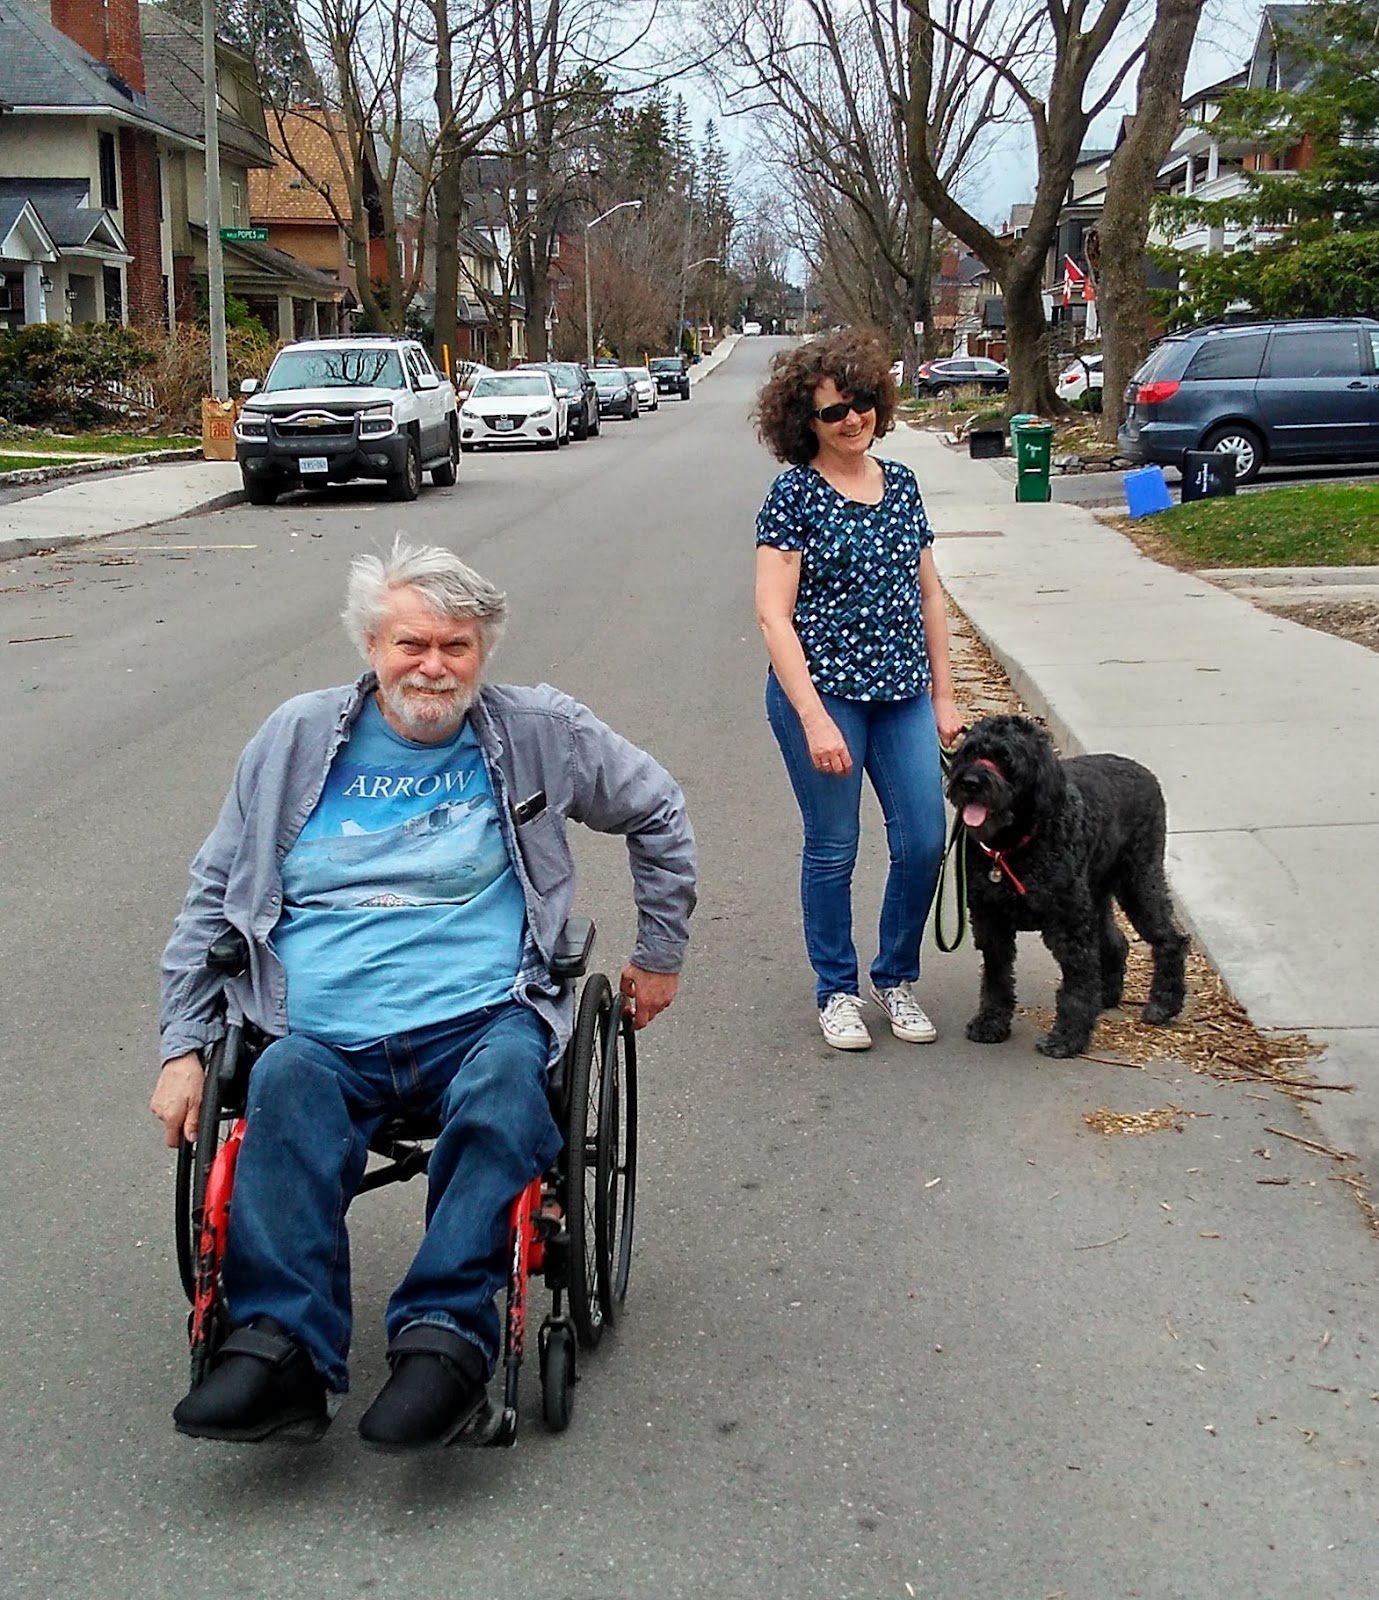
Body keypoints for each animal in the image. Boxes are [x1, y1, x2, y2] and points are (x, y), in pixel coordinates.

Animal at [945, 715, 1188, 1059]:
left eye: (1006, 758)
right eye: (970, 751)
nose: (970, 782)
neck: (1015, 844)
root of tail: (1144, 772)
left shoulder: (1069, 926)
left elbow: (1076, 985)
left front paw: (1067, 1038)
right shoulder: (989, 921)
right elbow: (996, 977)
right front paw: (990, 1022)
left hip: (1139, 882)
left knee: (1170, 940)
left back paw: (1164, 1004)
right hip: (1097, 895)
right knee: (1115, 942)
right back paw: (1107, 994)